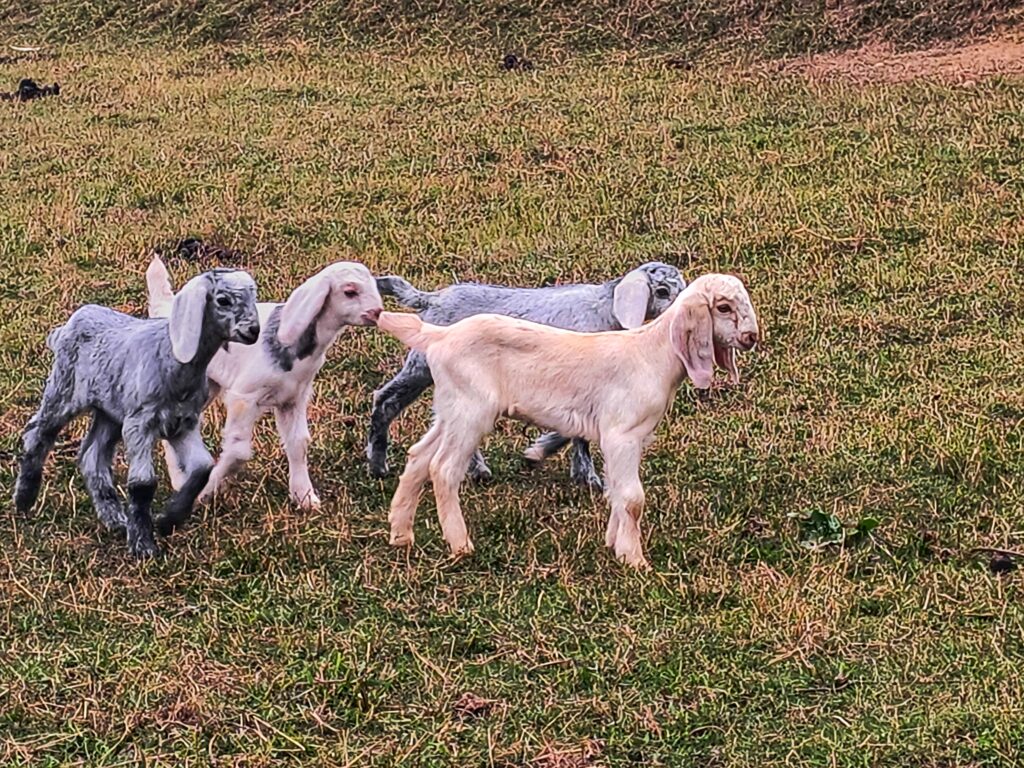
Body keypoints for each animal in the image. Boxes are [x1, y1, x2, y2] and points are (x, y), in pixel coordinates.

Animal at [13, 268, 260, 558]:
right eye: (222, 300)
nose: (254, 331)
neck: (171, 358)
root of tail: (69, 324)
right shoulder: (140, 422)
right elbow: (143, 483)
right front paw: (144, 545)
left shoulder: (183, 423)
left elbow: (203, 468)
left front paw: (168, 520)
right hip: (65, 389)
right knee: (38, 432)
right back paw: (24, 498)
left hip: (109, 411)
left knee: (92, 455)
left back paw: (115, 519)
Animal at [146, 256, 383, 509]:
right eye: (350, 292)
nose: (377, 312)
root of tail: (167, 311)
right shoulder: (245, 396)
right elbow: (238, 451)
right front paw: (205, 491)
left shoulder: (293, 398)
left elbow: (298, 443)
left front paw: (304, 496)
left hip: (208, 385)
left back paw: (180, 480)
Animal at [367, 262, 686, 489]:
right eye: (661, 291)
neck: (605, 310)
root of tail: (432, 299)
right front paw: (567, 466)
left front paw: (578, 473)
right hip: (422, 365)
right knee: (385, 400)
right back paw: (377, 464)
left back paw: (477, 470)